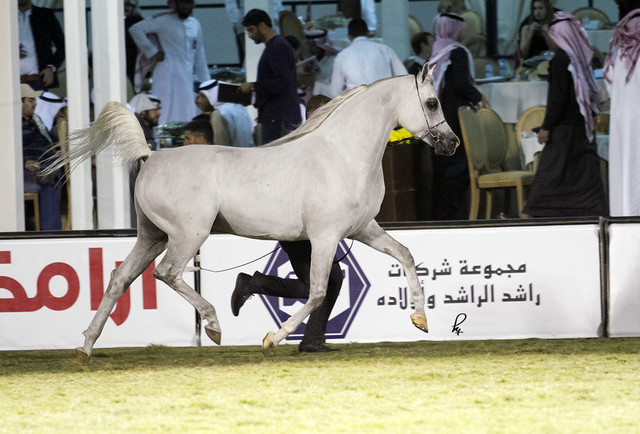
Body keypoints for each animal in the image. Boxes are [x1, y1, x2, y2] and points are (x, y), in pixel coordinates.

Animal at [52, 62, 458, 363]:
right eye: (432, 103)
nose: (452, 143)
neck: (341, 154)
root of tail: (150, 155)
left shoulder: (362, 229)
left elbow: (405, 254)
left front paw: (420, 319)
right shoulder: (325, 236)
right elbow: (316, 291)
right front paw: (271, 339)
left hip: (153, 236)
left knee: (119, 280)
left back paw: (85, 347)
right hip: (187, 235)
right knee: (166, 273)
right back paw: (213, 325)